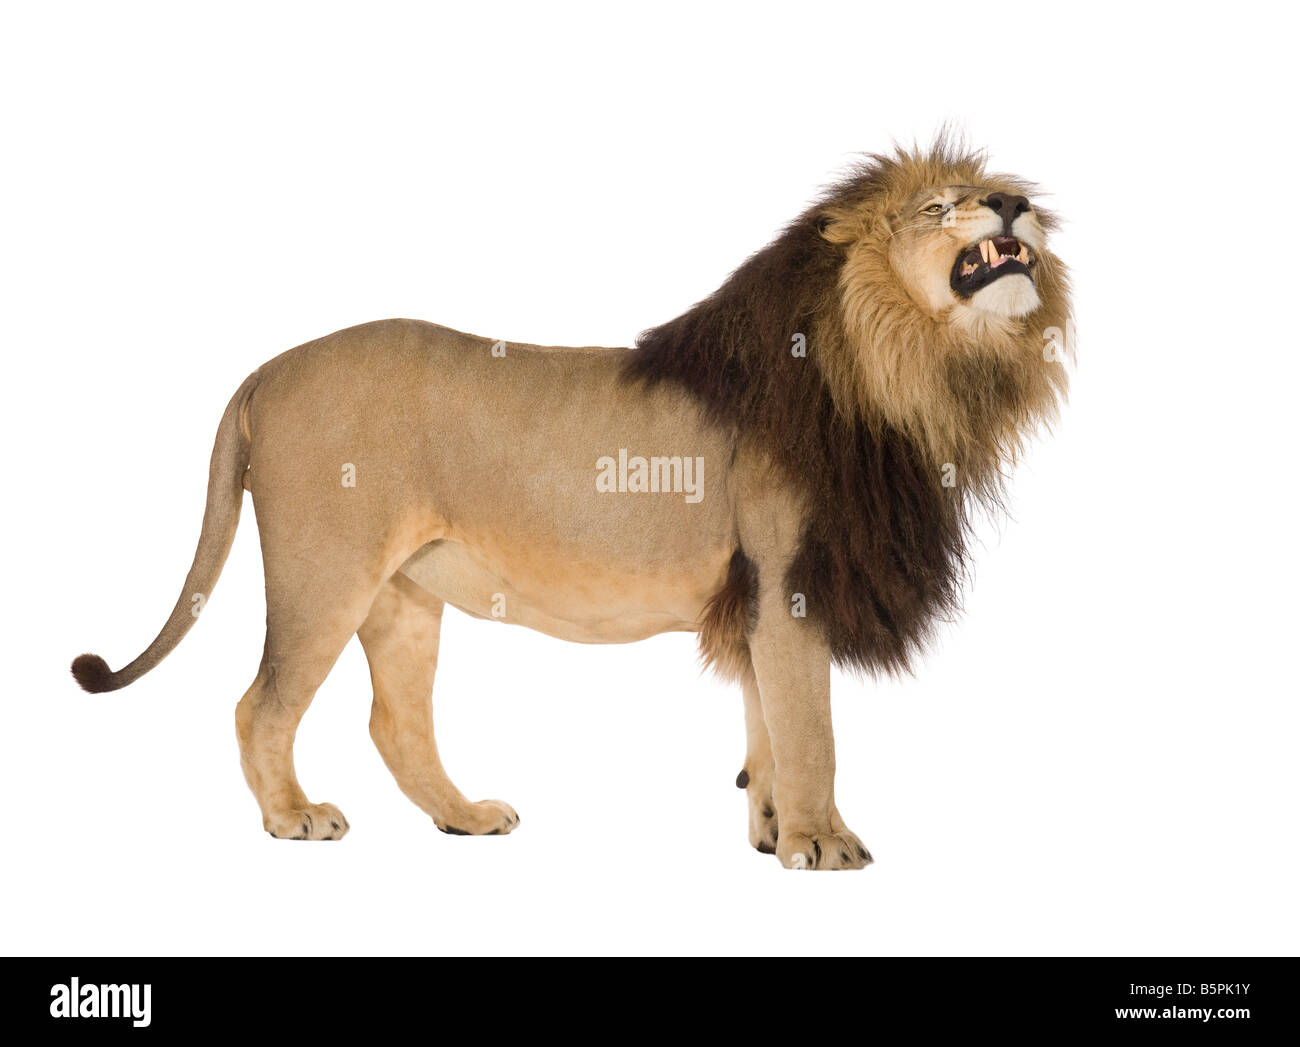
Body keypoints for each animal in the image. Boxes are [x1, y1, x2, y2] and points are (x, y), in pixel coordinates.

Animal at [71, 139, 1071, 870]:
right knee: (262, 702)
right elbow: (810, 727)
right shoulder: (789, 581)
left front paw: (769, 827)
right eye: (939, 205)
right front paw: (821, 841)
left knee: (395, 721)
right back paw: (293, 818)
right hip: (326, 571)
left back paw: (464, 816)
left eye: (997, 189)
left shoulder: (755, 597)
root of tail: (263, 370)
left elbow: (765, 723)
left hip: (405, 591)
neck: (909, 367)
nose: (1015, 202)